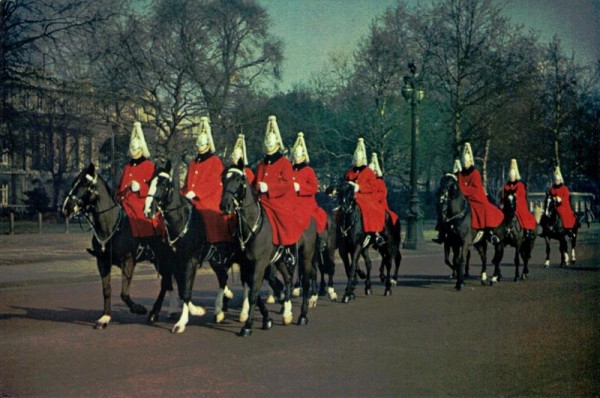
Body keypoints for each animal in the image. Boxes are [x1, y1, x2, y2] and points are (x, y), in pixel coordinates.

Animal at [61, 163, 172, 328]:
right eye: (74, 182)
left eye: (85, 184)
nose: (66, 208)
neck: (112, 226)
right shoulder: (102, 262)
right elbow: (106, 290)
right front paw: (105, 317)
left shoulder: (128, 261)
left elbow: (124, 293)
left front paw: (138, 308)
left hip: (164, 259)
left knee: (165, 282)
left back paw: (155, 313)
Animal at [218, 165, 316, 336]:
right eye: (223, 179)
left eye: (238, 179)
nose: (225, 206)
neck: (252, 226)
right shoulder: (246, 266)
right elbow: (254, 293)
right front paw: (267, 319)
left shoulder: (259, 264)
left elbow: (253, 294)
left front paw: (247, 326)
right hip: (280, 260)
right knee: (288, 279)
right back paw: (287, 313)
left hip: (306, 257)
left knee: (305, 282)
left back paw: (302, 315)